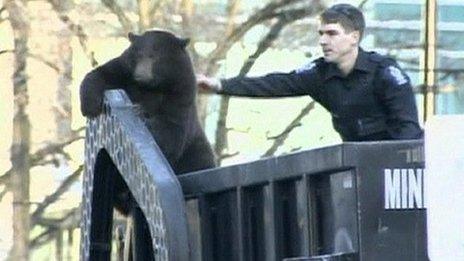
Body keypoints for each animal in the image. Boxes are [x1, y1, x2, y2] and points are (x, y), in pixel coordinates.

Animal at [80, 30, 218, 173]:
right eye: (139, 55)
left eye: (154, 57)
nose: (140, 73)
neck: (151, 86)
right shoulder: (124, 72)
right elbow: (102, 74)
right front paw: (91, 106)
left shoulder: (181, 92)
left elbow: (172, 129)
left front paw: (141, 113)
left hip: (196, 152)